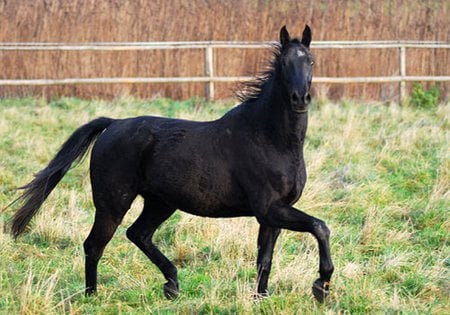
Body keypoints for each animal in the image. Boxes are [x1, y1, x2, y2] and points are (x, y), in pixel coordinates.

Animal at [10, 26, 334, 304]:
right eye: (284, 63)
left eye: (312, 61)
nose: (300, 98)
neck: (269, 138)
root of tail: (113, 124)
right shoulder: (269, 208)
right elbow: (320, 227)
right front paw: (321, 285)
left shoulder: (271, 214)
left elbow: (265, 259)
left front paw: (261, 298)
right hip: (113, 203)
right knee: (94, 244)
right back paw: (93, 296)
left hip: (160, 203)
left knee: (138, 234)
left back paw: (172, 284)